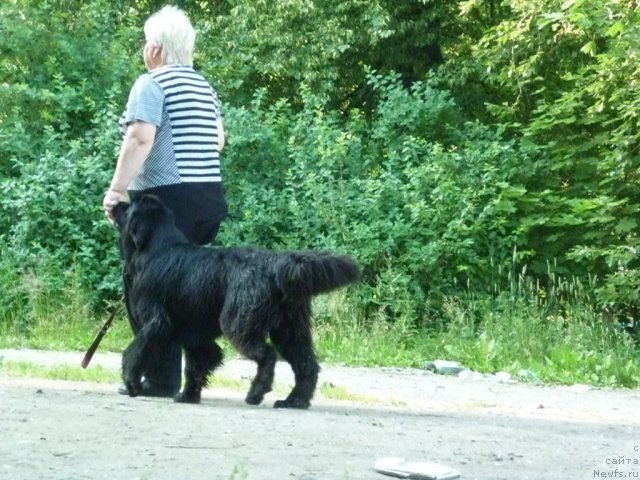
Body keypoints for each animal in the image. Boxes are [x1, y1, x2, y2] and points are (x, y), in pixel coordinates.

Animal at [111, 195, 360, 408]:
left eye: (128, 205)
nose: (114, 203)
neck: (156, 248)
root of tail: (274, 264)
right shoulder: (195, 336)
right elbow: (195, 367)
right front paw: (189, 396)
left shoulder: (156, 324)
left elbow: (135, 352)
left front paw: (131, 383)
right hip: (289, 329)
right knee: (306, 364)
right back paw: (294, 401)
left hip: (239, 323)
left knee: (268, 355)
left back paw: (256, 393)